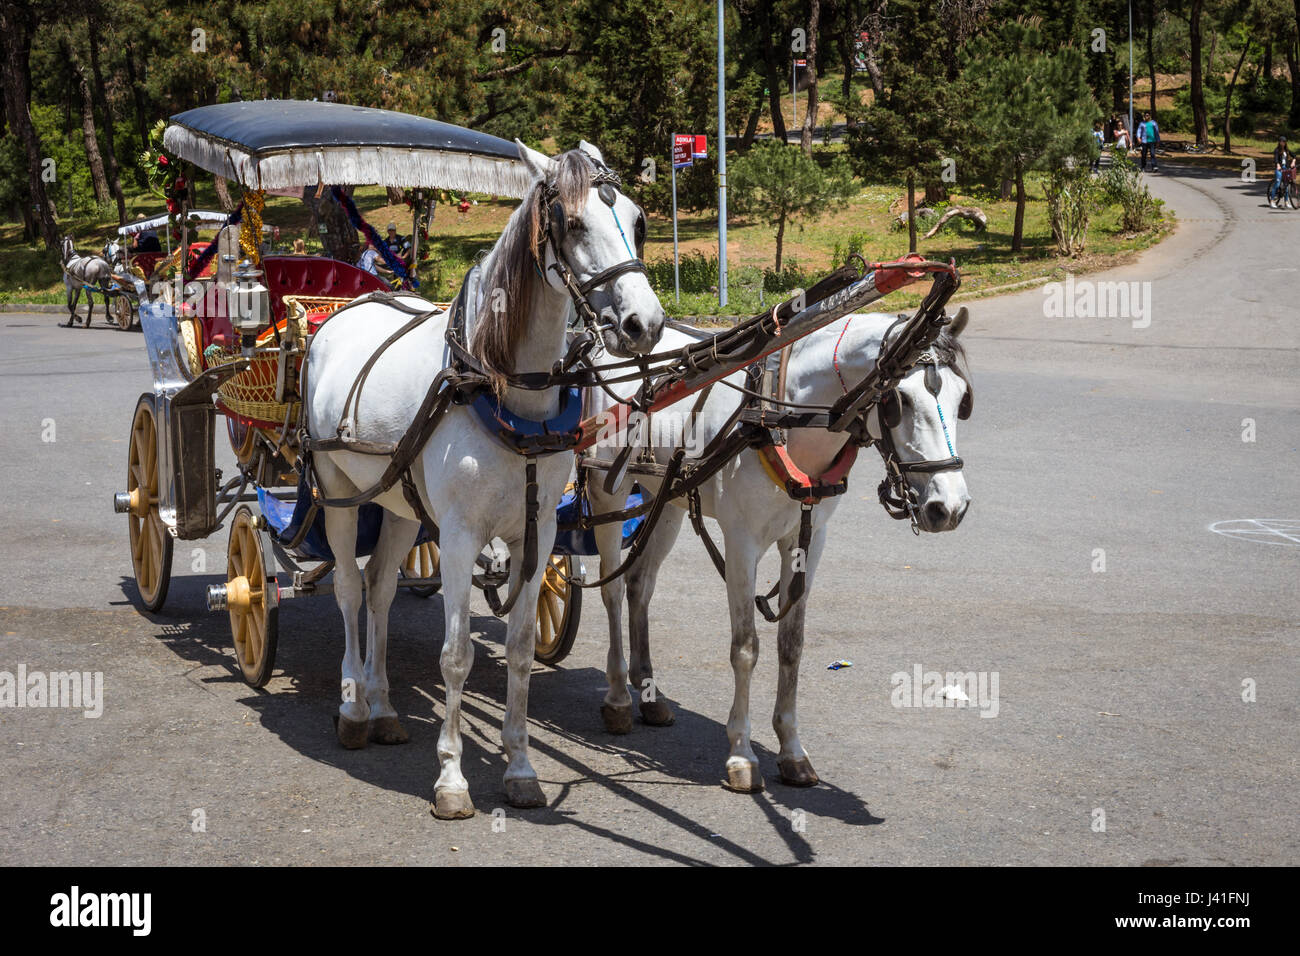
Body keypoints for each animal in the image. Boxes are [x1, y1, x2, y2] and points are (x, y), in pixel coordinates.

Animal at [304, 138, 665, 816]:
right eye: (572, 223)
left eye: (637, 221)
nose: (645, 325)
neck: (499, 385)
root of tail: (339, 315)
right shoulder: (459, 536)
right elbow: (456, 655)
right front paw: (451, 777)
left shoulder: (536, 533)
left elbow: (520, 651)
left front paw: (521, 767)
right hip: (338, 491)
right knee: (347, 589)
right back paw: (353, 705)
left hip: (399, 503)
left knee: (381, 589)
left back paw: (384, 705)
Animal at [585, 308, 972, 790]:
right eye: (898, 400)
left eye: (962, 401)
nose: (949, 507)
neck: (784, 418)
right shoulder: (740, 543)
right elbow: (745, 647)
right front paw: (741, 753)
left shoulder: (808, 540)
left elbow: (792, 644)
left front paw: (791, 750)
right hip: (608, 490)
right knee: (612, 590)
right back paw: (619, 695)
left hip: (666, 497)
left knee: (640, 585)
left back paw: (649, 691)